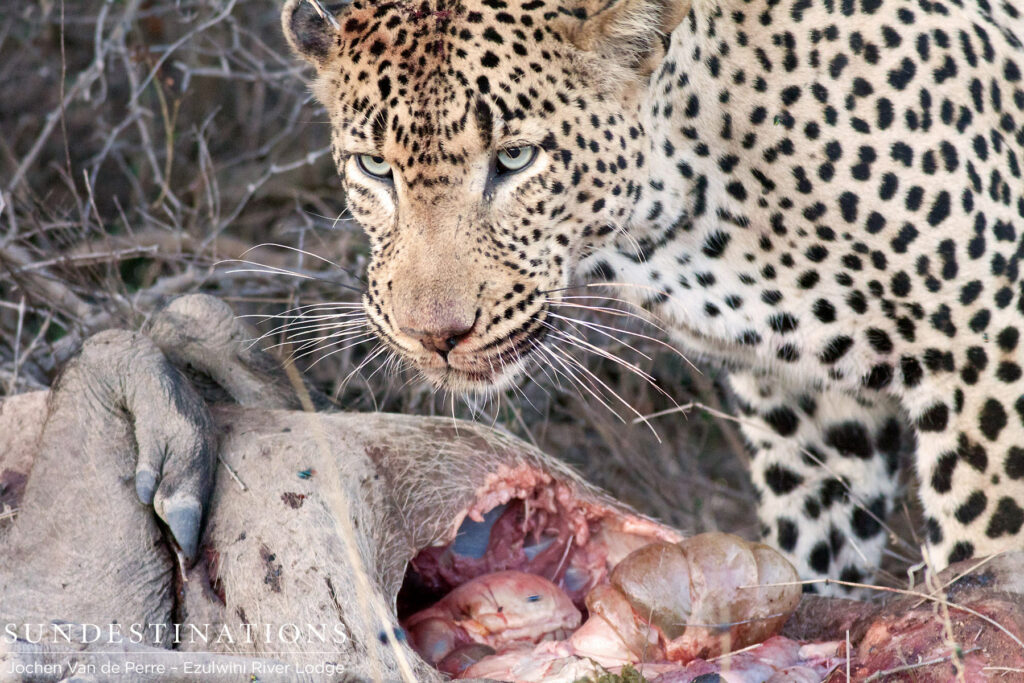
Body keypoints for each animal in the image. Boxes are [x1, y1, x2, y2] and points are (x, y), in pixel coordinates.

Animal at [278, 0, 1024, 592]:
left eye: (516, 158)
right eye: (374, 168)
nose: (435, 336)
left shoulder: (986, 356)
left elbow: (986, 552)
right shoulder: (806, 401)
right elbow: (819, 553)